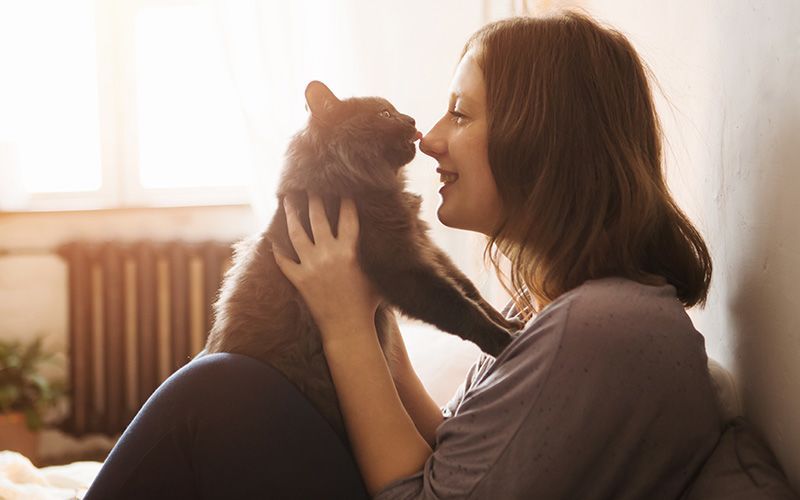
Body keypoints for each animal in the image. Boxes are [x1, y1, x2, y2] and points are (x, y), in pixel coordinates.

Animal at [203, 81, 520, 446]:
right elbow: (458, 307)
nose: (411, 120)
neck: (357, 187)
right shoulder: (402, 266)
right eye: (384, 114)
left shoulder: (424, 247)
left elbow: (470, 291)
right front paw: (503, 340)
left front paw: (510, 322)